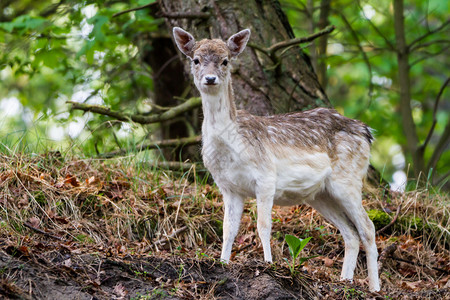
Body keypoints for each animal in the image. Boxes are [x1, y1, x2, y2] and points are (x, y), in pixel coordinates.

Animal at [172, 27, 380, 292]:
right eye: (196, 60)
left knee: (368, 227)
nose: (210, 79)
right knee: (351, 233)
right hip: (321, 195)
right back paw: (345, 281)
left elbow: (263, 225)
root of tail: (366, 132)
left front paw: (268, 264)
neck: (231, 147)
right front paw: (223, 263)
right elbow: (228, 228)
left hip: (348, 179)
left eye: (225, 60)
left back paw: (374, 287)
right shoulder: (228, 187)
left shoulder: (265, 177)